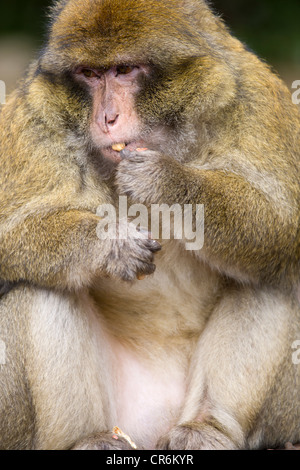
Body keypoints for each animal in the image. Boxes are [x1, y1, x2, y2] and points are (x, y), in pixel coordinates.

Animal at [0, 0, 300, 450]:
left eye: (124, 70)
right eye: (89, 74)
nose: (106, 117)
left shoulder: (252, 99)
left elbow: (286, 224)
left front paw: (168, 182)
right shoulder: (34, 120)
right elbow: (7, 243)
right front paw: (108, 244)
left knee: (274, 271)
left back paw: (207, 427)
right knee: (38, 286)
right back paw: (87, 438)